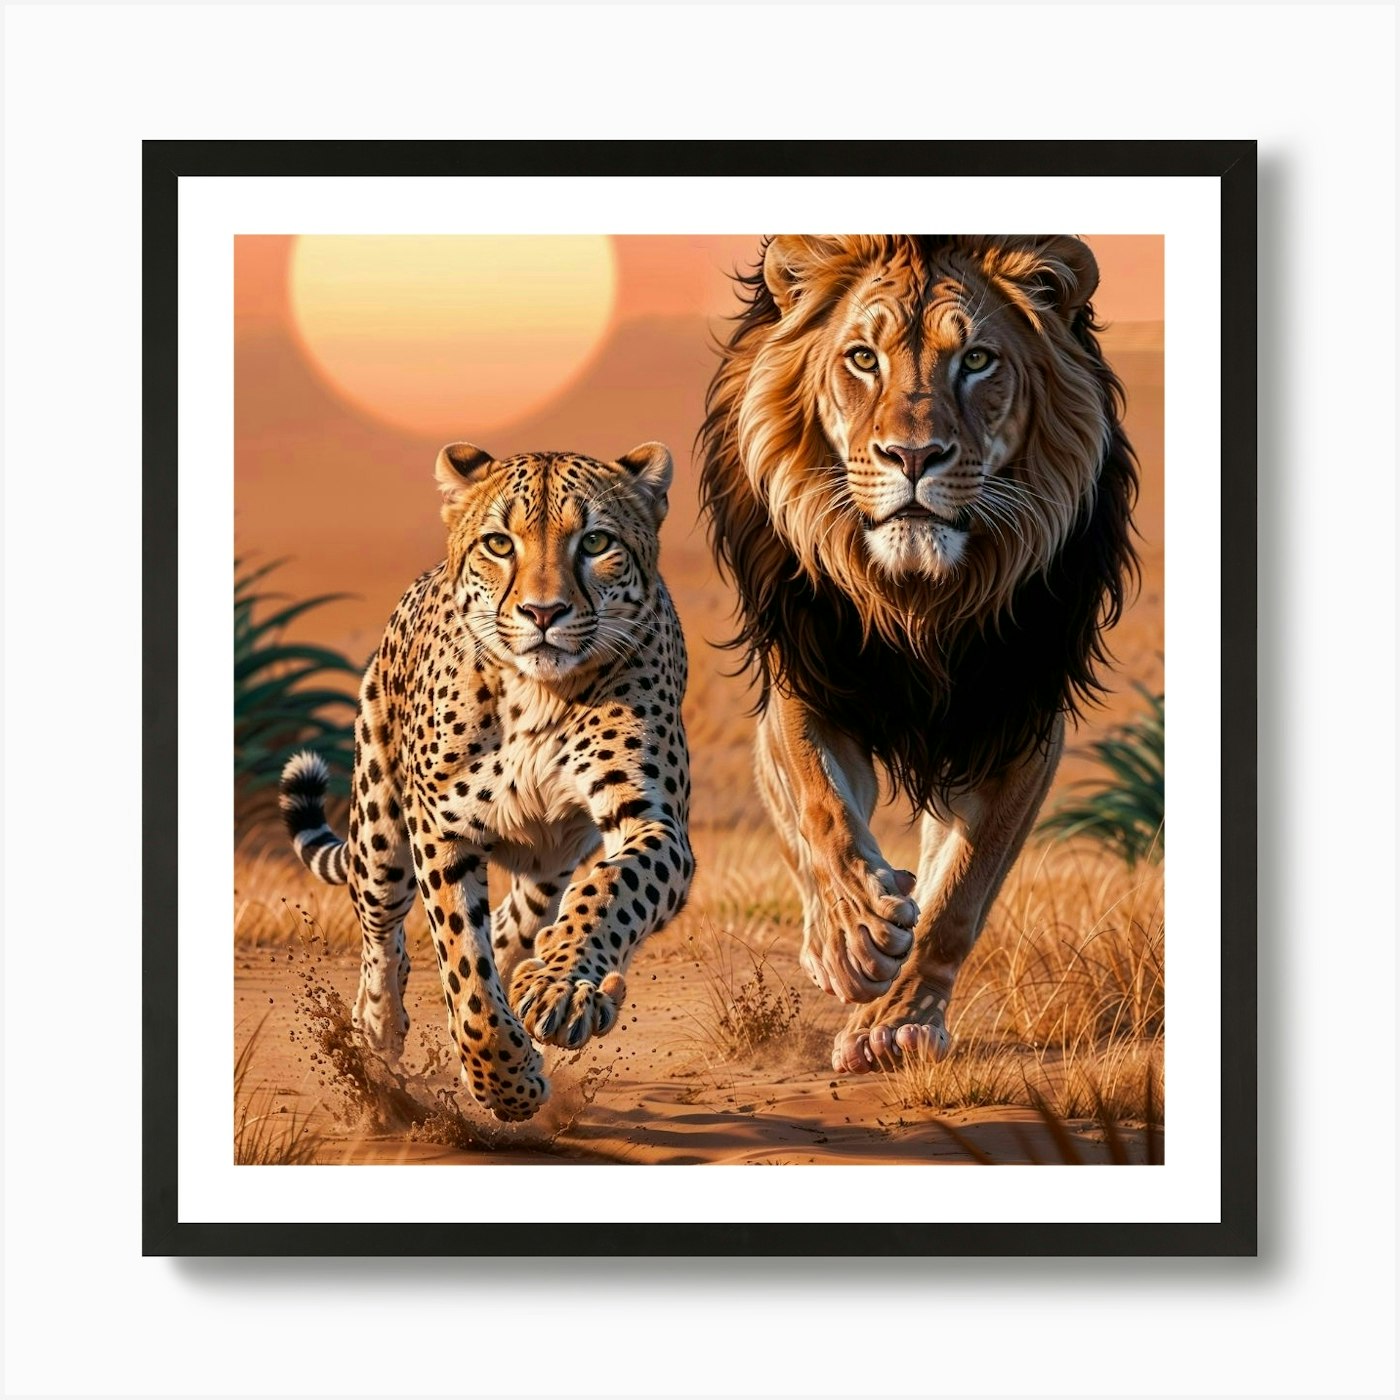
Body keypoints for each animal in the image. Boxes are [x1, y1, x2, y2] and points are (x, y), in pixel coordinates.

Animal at [280, 441, 694, 1121]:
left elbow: (610, 891)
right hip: (380, 839)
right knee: (383, 932)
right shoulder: (441, 830)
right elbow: (463, 966)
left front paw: (557, 991)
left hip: (547, 864)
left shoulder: (653, 822)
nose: (543, 612)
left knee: (512, 927)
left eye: (595, 541)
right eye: (500, 544)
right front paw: (506, 1081)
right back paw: (378, 1027)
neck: (539, 693)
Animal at [699, 235, 1139, 1074]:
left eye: (977, 360)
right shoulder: (808, 682)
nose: (912, 457)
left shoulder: (1018, 719)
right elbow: (824, 811)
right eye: (862, 359)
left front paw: (898, 1020)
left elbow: (961, 892)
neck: (921, 605)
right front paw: (857, 937)